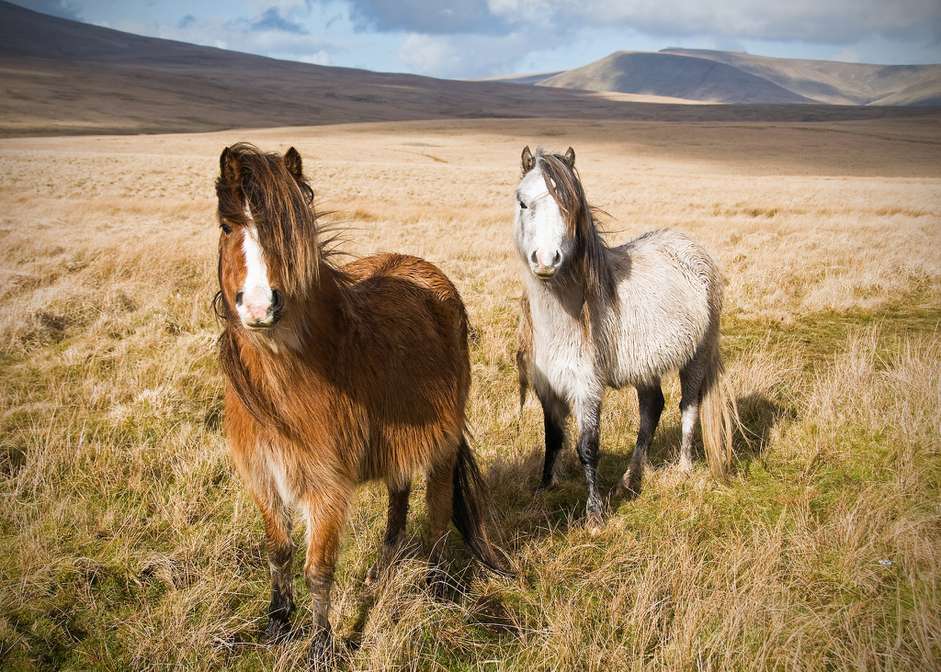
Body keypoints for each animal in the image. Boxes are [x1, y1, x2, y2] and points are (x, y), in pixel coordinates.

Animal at [213, 143, 506, 660]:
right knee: (398, 501)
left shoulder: (326, 487)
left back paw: (436, 590)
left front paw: (321, 647)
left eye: (293, 229)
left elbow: (318, 570)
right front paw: (276, 623)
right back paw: (383, 571)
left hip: (442, 447)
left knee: (436, 514)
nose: (260, 306)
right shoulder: (262, 477)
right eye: (228, 226)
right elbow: (278, 552)